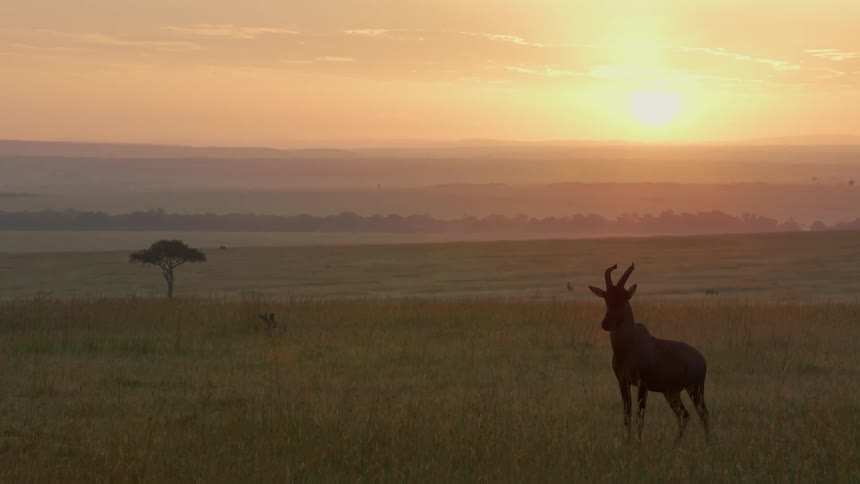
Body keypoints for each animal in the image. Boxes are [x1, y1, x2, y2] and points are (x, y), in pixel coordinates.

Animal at [588, 263, 710, 443]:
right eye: (606, 298)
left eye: (624, 298)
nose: (606, 323)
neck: (628, 346)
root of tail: (702, 359)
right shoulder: (622, 381)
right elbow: (627, 411)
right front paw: (627, 441)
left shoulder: (643, 383)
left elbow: (641, 412)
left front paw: (638, 442)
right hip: (671, 392)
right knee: (684, 415)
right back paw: (675, 445)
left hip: (695, 388)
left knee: (703, 414)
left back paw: (708, 443)